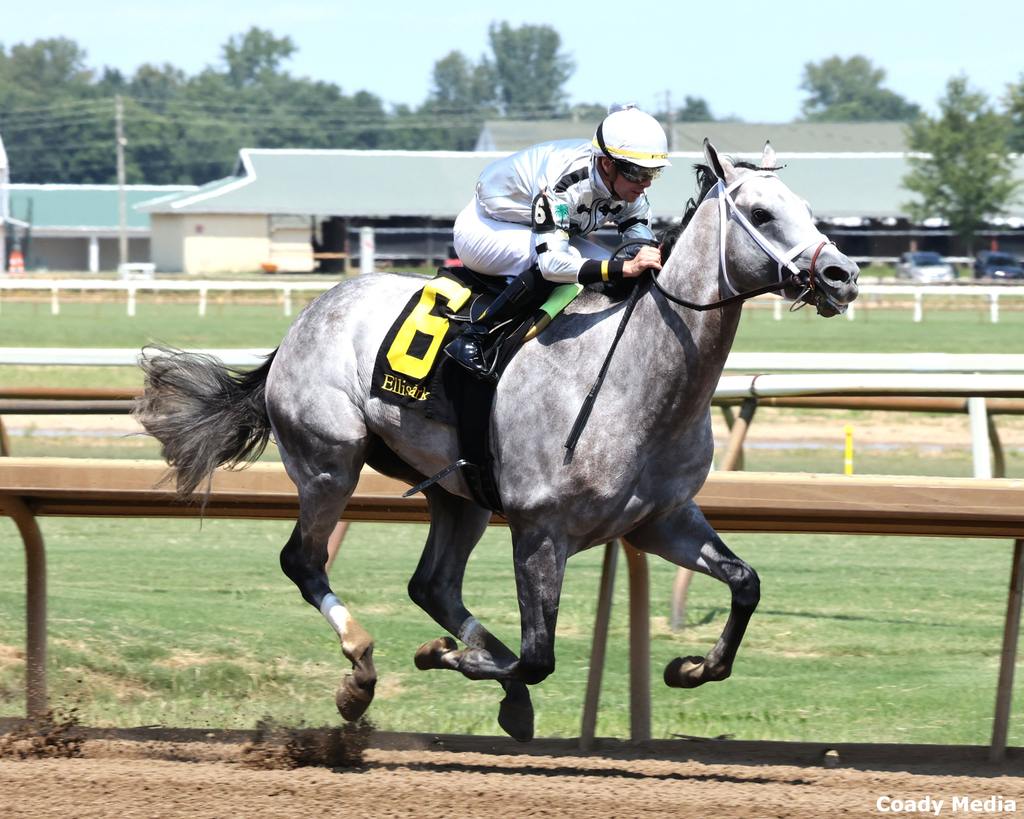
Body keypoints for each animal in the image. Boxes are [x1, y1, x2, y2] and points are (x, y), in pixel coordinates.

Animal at [134, 141, 856, 741]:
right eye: (761, 212)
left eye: (807, 209)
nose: (843, 276)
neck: (634, 380)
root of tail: (306, 318)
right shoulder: (539, 529)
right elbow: (538, 656)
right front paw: (441, 655)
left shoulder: (661, 520)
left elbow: (745, 583)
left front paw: (688, 668)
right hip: (329, 463)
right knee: (304, 562)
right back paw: (361, 670)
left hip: (459, 494)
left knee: (432, 585)